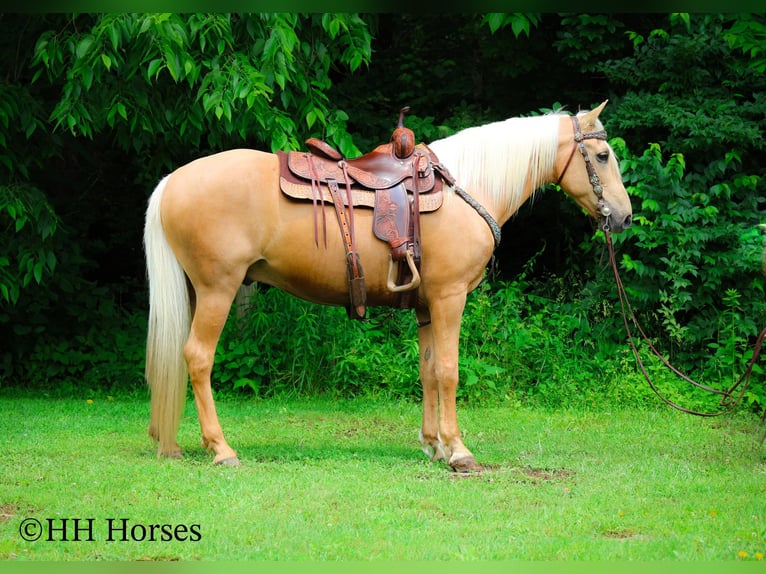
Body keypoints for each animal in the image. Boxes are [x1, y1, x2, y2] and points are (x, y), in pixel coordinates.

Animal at [144, 101, 632, 472]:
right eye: (602, 156)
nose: (625, 217)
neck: (464, 189)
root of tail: (173, 180)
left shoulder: (427, 306)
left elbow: (428, 372)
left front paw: (434, 444)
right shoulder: (450, 298)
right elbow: (450, 371)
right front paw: (459, 451)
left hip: (196, 292)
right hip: (218, 290)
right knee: (198, 358)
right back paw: (221, 449)